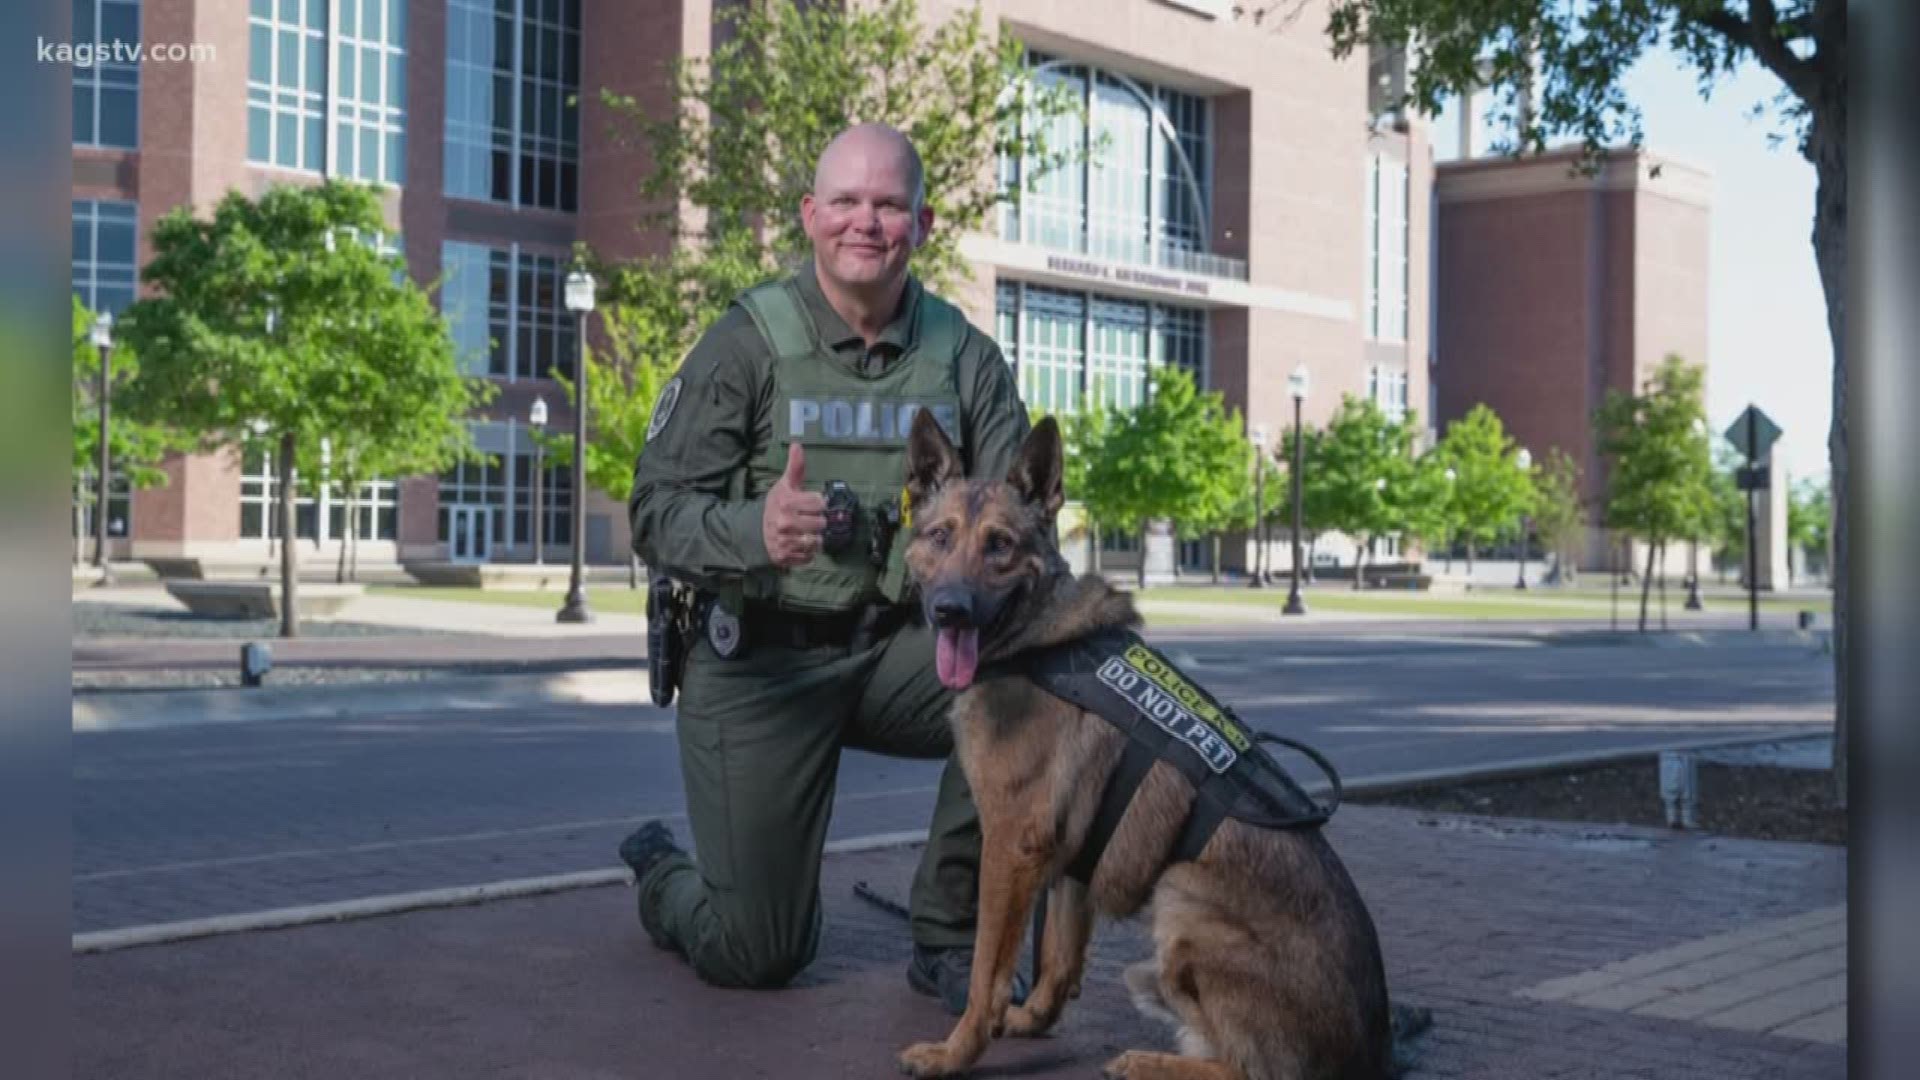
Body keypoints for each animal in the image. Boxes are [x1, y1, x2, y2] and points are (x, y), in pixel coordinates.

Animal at [890, 411, 1390, 1076]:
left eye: (999, 545)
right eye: (940, 536)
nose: (951, 611)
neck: (1038, 640)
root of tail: (1376, 1053)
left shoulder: (1011, 847)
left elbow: (984, 972)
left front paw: (957, 1051)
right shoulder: (1070, 857)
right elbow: (1058, 961)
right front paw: (1027, 1021)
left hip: (1182, 894)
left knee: (1249, 1069)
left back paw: (1149, 1062)